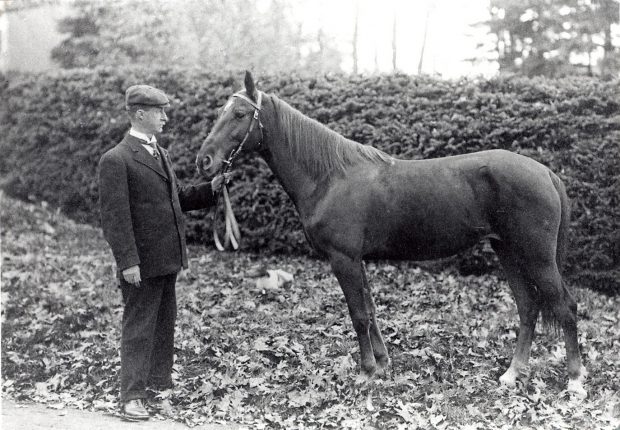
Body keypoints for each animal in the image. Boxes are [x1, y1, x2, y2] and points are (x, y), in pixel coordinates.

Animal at [196, 70, 588, 396]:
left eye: (239, 114)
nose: (204, 161)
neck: (330, 178)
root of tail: (545, 172)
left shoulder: (344, 259)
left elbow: (358, 315)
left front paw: (367, 371)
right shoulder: (356, 260)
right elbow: (370, 312)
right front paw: (384, 365)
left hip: (537, 257)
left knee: (565, 307)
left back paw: (575, 381)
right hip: (508, 252)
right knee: (528, 306)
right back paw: (513, 373)